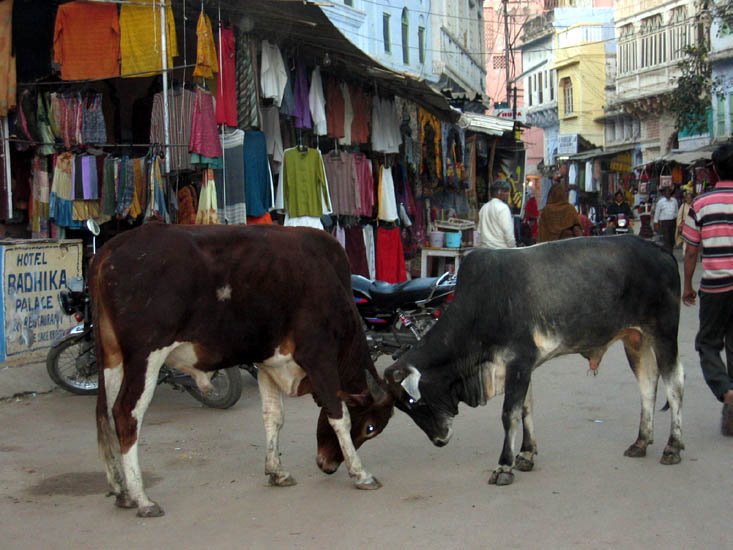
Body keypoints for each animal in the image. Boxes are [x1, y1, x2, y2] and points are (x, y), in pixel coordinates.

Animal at [91, 223, 394, 516]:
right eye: (370, 427)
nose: (328, 465)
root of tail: (111, 247)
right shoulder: (320, 357)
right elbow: (339, 417)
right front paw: (361, 474)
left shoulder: (269, 363)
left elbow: (273, 416)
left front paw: (276, 471)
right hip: (145, 357)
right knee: (126, 414)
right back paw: (142, 499)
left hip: (113, 358)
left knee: (105, 413)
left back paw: (121, 492)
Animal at [386, 237, 684, 488]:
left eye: (415, 402)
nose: (438, 440)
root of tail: (660, 250)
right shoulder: (522, 366)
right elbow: (526, 409)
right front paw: (526, 455)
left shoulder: (518, 362)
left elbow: (509, 413)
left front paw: (504, 466)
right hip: (635, 339)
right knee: (647, 385)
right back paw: (641, 442)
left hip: (664, 335)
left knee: (675, 386)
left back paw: (673, 447)